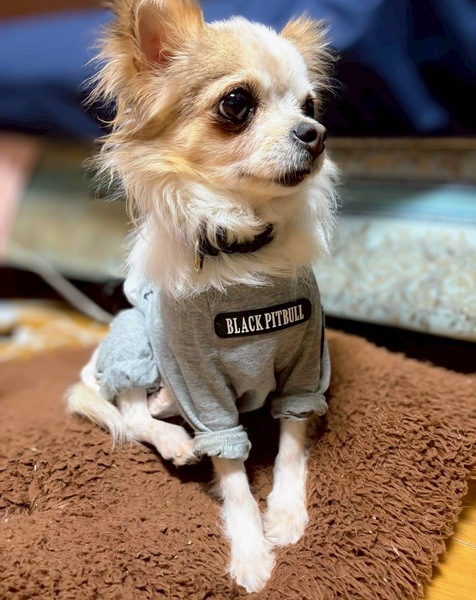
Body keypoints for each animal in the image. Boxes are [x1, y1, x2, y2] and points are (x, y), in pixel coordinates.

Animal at [68, 0, 338, 592]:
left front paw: (285, 514)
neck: (243, 248)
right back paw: (173, 435)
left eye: (310, 106)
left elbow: (290, 443)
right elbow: (231, 469)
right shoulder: (203, 386)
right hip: (140, 342)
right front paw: (252, 551)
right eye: (236, 103)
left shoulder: (305, 369)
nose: (317, 133)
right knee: (130, 411)